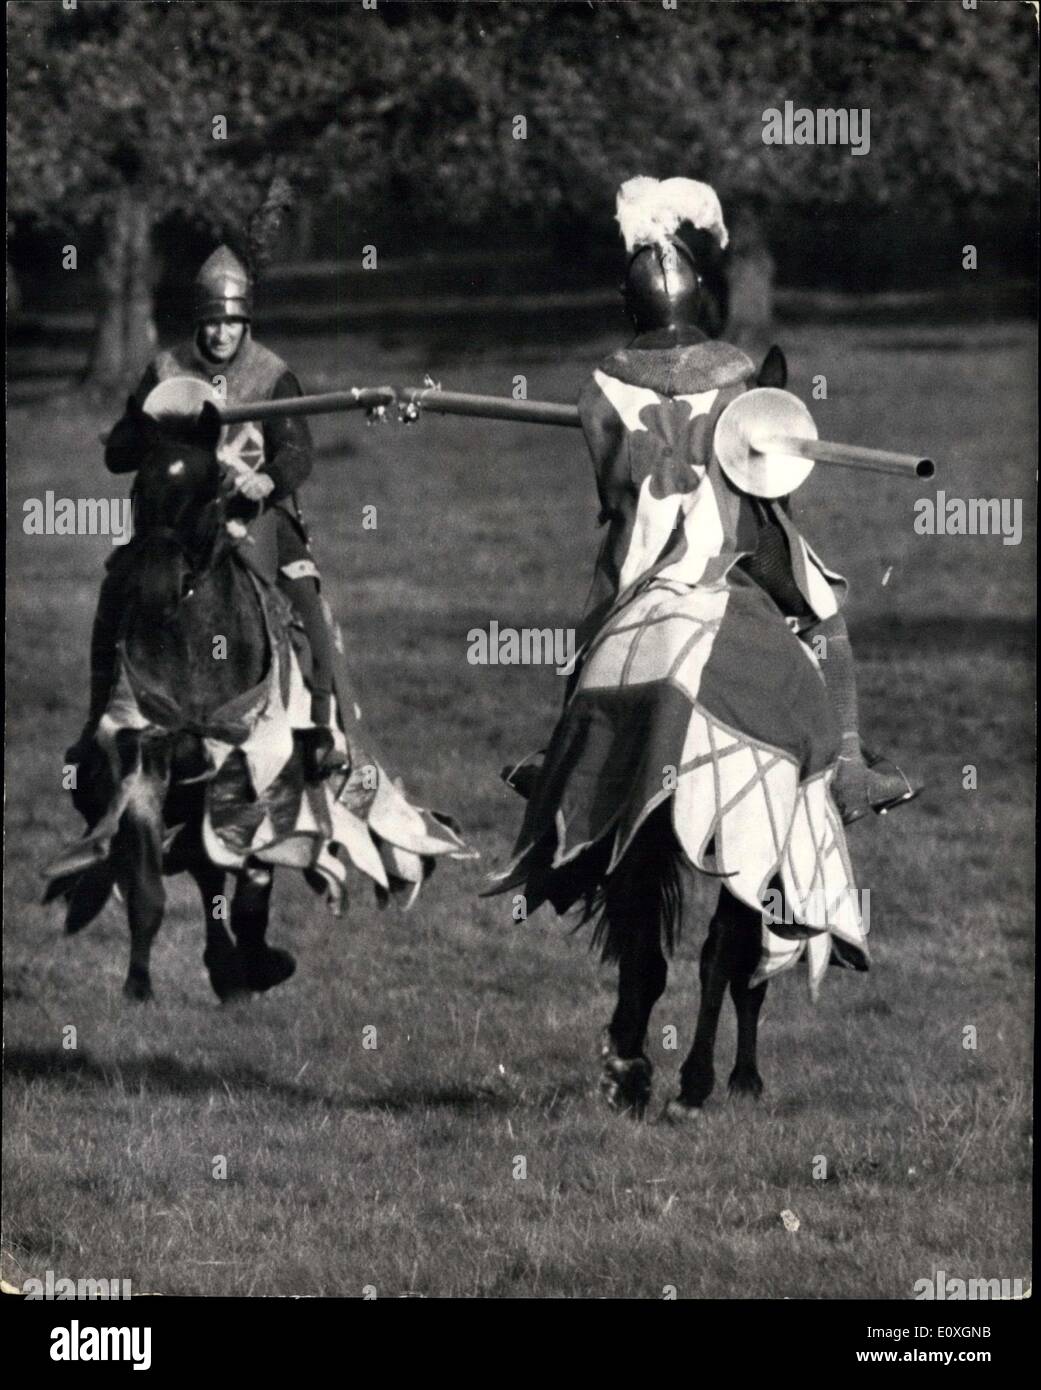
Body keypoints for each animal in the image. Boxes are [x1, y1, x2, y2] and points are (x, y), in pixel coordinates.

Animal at [47, 400, 291, 1000]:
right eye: (139, 489)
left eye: (210, 490)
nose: (156, 588)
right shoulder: (144, 764)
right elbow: (148, 889)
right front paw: (139, 987)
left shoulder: (249, 767)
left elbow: (249, 878)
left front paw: (259, 964)